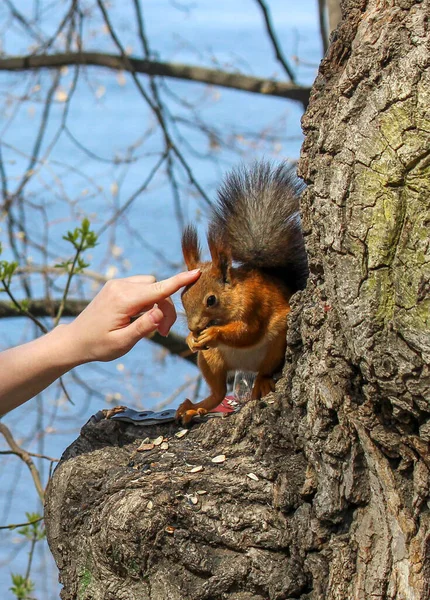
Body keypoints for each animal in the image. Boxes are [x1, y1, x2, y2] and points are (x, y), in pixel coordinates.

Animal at [176, 159, 310, 422]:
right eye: (182, 297)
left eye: (211, 300)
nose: (194, 328)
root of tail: (245, 368)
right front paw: (189, 339)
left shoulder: (254, 303)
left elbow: (247, 331)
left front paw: (213, 333)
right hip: (210, 359)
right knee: (218, 392)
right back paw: (193, 407)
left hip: (276, 346)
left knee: (264, 371)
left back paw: (261, 383)